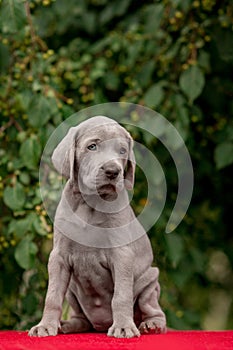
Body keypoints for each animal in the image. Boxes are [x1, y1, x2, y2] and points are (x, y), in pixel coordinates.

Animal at [29, 116, 167, 338]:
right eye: (92, 147)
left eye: (122, 151)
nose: (113, 171)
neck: (90, 204)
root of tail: (99, 326)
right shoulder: (58, 257)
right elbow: (52, 296)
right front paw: (45, 325)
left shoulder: (121, 255)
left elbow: (121, 295)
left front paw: (123, 327)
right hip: (72, 290)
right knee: (82, 319)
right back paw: (67, 325)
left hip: (150, 278)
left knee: (153, 307)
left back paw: (151, 325)